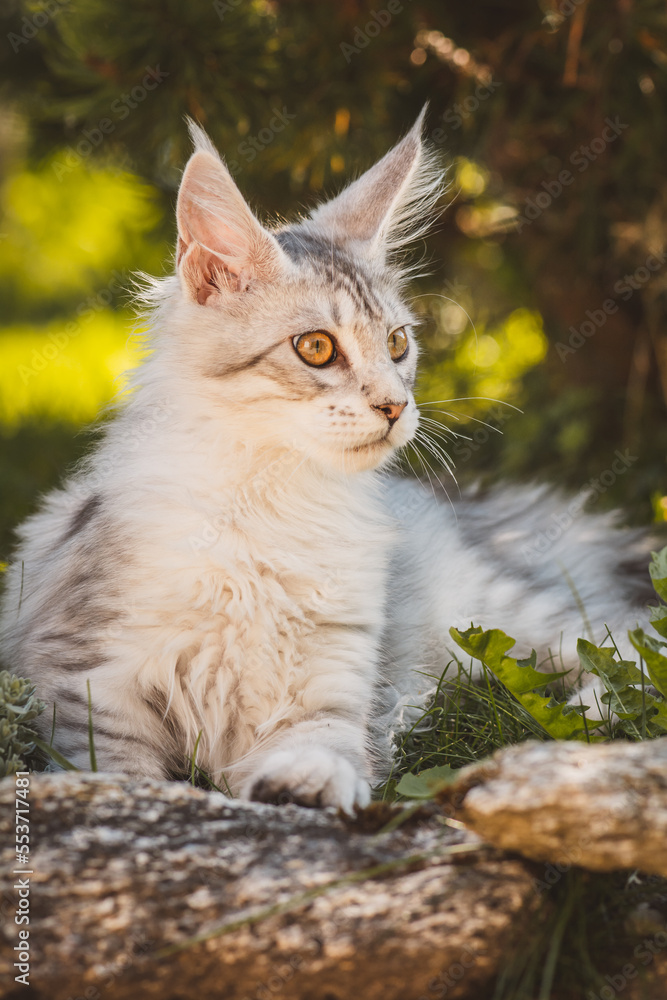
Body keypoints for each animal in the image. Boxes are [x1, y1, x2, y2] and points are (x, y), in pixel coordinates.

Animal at [0, 111, 656, 812]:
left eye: (396, 344)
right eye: (316, 348)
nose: (395, 406)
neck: (271, 502)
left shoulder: (327, 688)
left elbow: (321, 749)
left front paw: (305, 787)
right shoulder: (89, 687)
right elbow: (128, 779)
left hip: (501, 617)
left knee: (629, 640)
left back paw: (588, 716)